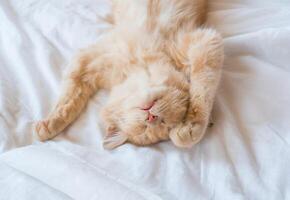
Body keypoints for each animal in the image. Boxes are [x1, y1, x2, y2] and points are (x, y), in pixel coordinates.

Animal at [34, 0, 224, 149]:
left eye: (162, 122)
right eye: (143, 127)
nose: (150, 116)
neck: (141, 63)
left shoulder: (205, 42)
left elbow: (202, 94)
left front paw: (192, 126)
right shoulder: (88, 60)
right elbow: (68, 101)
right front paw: (51, 123)